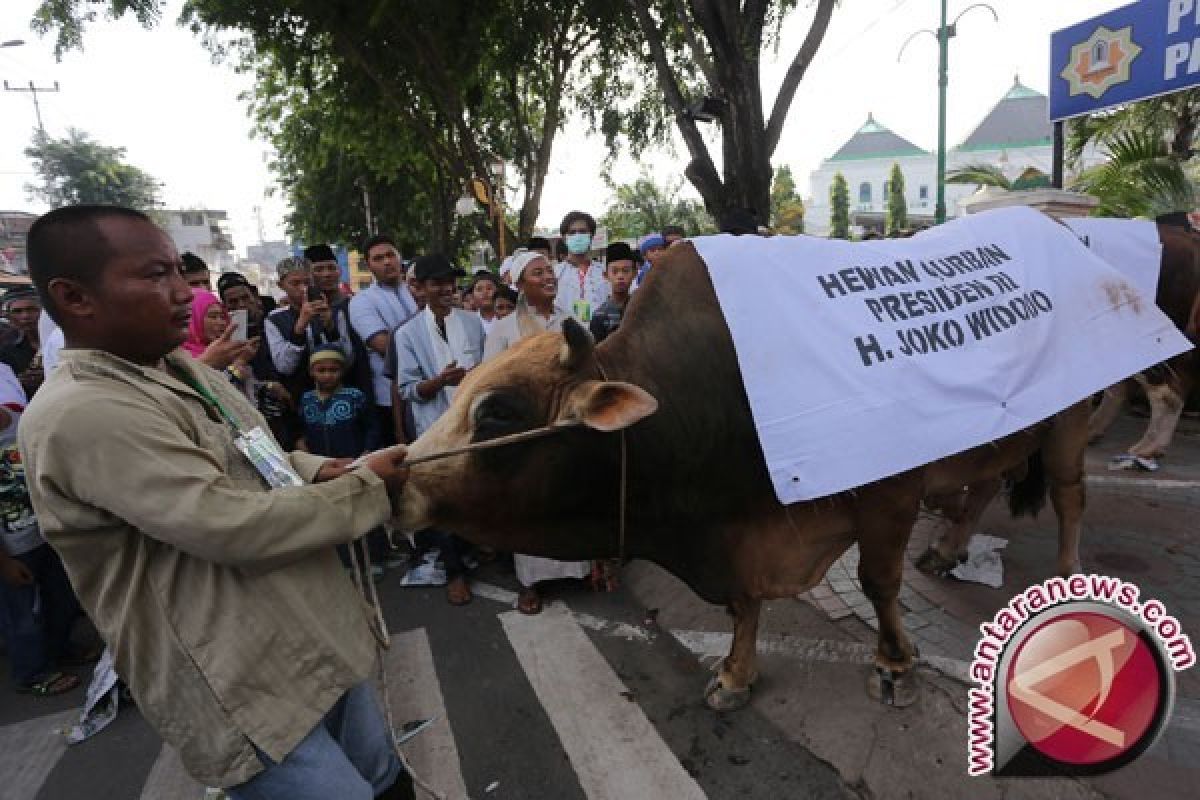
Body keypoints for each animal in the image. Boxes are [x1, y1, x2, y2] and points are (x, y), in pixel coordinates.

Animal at [400, 241, 1089, 710]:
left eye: (496, 412)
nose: (398, 476)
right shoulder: (736, 531)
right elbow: (743, 604)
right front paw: (735, 674)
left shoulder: (889, 491)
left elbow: (878, 582)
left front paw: (894, 666)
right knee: (986, 486)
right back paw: (947, 551)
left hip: (1071, 419)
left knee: (1067, 496)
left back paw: (1066, 575)